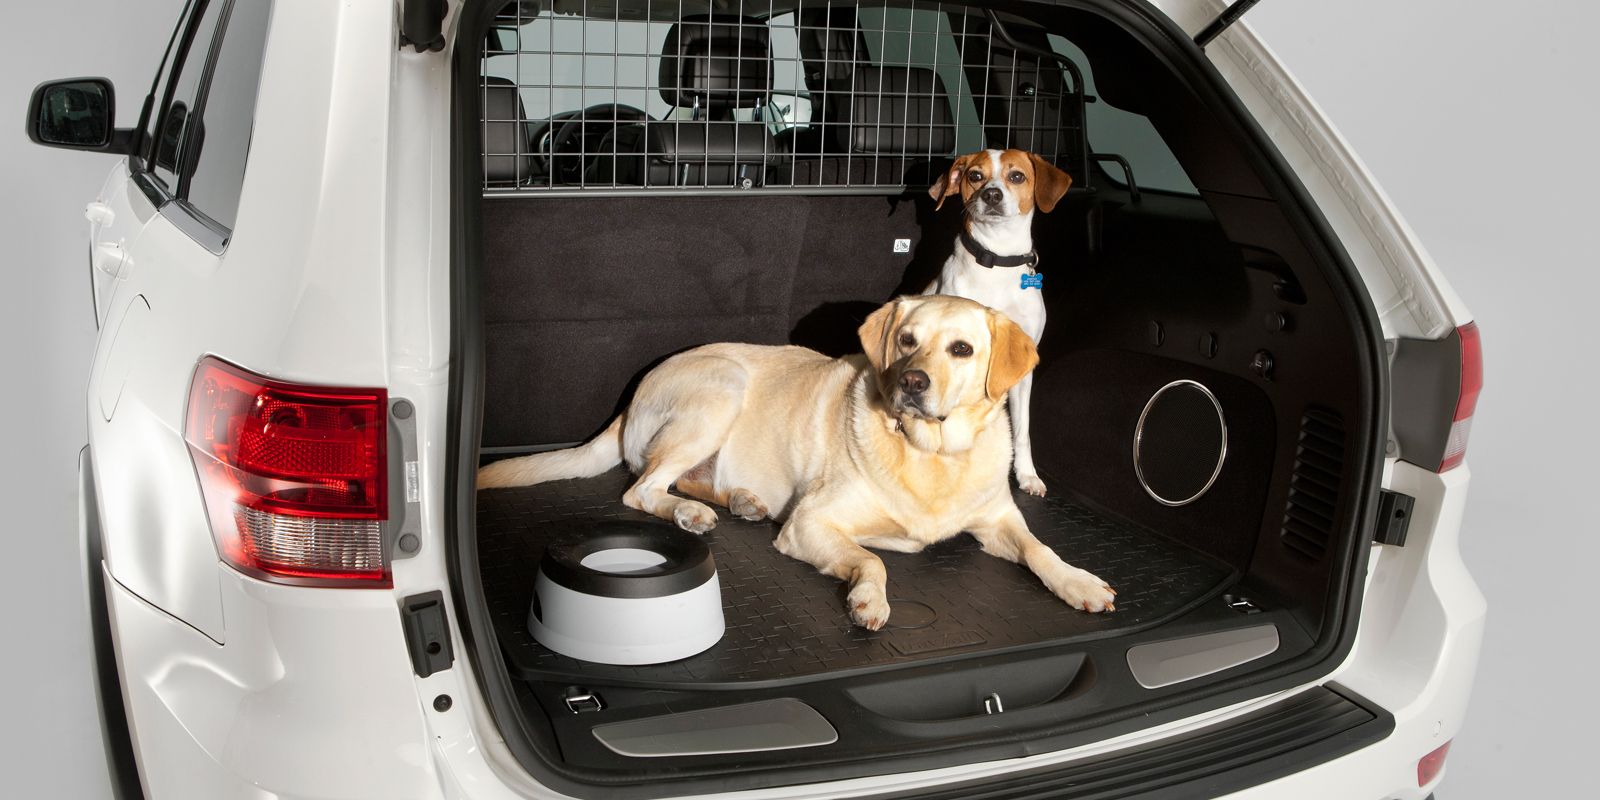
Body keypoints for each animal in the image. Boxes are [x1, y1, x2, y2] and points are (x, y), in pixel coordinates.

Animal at [928, 148, 1075, 496]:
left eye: (1017, 176)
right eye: (975, 176)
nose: (991, 194)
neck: (997, 262)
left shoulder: (1021, 369)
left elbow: (1022, 432)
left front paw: (1027, 475)